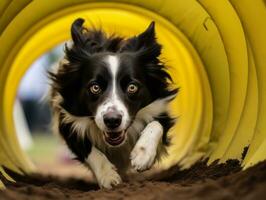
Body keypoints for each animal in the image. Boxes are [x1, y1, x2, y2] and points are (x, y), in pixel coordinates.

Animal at [49, 18, 179, 188]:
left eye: (132, 87)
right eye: (95, 87)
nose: (112, 120)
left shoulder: (161, 110)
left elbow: (156, 124)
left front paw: (142, 155)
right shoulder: (67, 121)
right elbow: (86, 147)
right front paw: (108, 176)